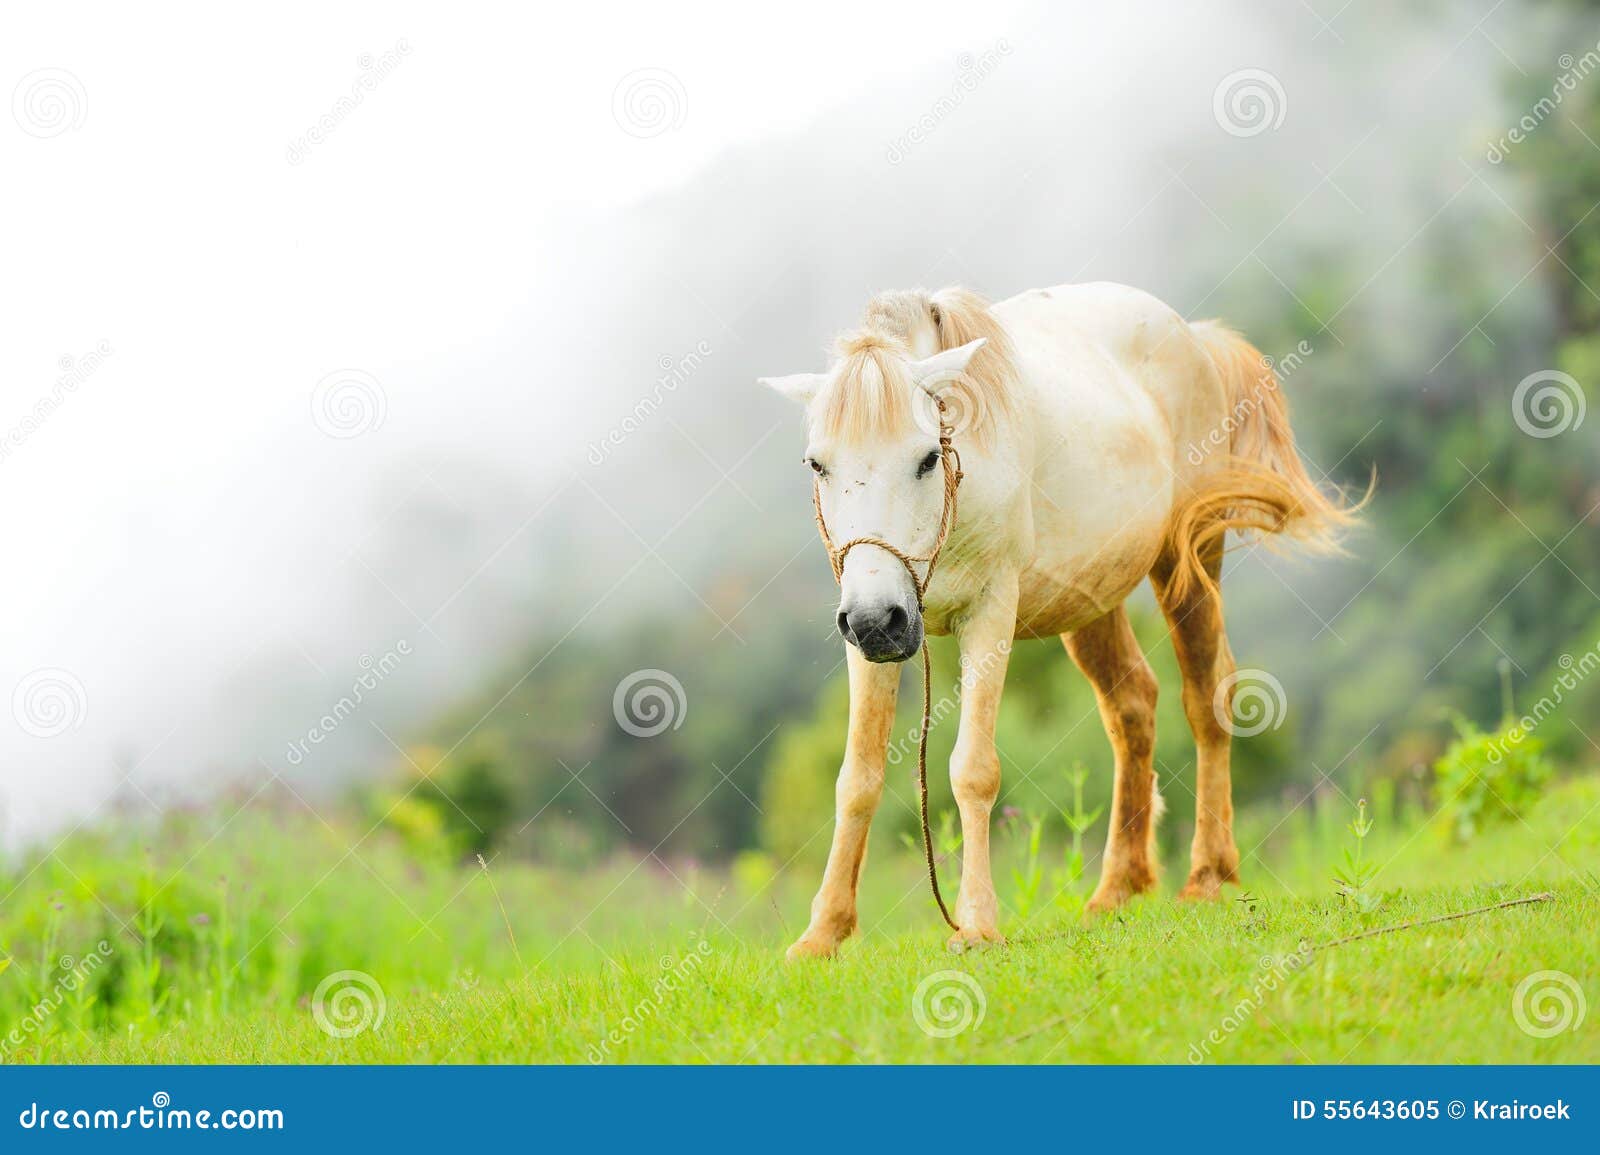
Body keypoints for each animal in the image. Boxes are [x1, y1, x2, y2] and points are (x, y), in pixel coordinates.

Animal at [760, 282, 1357, 958]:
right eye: (817, 465)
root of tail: (1194, 336)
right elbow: (856, 778)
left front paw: (976, 923)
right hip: (1091, 602)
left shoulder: (988, 615)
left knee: (1207, 698)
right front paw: (823, 933)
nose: (874, 619)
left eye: (926, 459)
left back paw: (1207, 876)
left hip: (1190, 558)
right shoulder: (871, 638)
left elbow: (974, 770)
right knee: (1133, 706)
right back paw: (1118, 887)